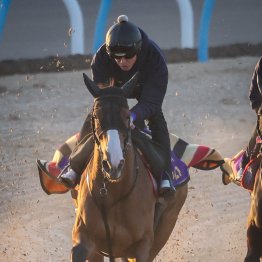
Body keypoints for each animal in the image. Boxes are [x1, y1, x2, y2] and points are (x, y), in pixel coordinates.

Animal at [70, 72, 187, 260]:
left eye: (126, 116)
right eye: (95, 117)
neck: (112, 195)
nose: (113, 164)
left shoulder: (143, 245)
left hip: (167, 223)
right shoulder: (83, 238)